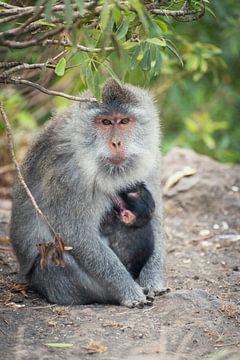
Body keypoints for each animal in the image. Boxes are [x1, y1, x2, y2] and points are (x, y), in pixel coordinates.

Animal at [10, 79, 165, 306]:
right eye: (106, 122)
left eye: (124, 121)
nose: (116, 143)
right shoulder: (67, 172)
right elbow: (76, 233)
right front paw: (129, 291)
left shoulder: (151, 158)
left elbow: (155, 219)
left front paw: (153, 280)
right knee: (55, 251)